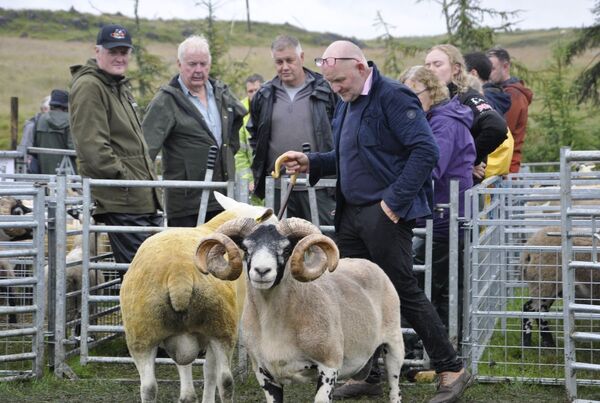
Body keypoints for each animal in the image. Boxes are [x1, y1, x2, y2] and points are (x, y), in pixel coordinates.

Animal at [122, 193, 276, 403]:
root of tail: (178, 274)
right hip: (221, 327)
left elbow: (186, 373)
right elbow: (209, 372)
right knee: (225, 380)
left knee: (148, 387)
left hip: (140, 336)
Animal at [195, 218, 406, 403]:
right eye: (246, 249)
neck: (276, 326)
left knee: (395, 390)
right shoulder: (265, 374)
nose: (262, 271)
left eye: (287, 249)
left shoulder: (329, 365)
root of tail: (367, 263)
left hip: (394, 346)